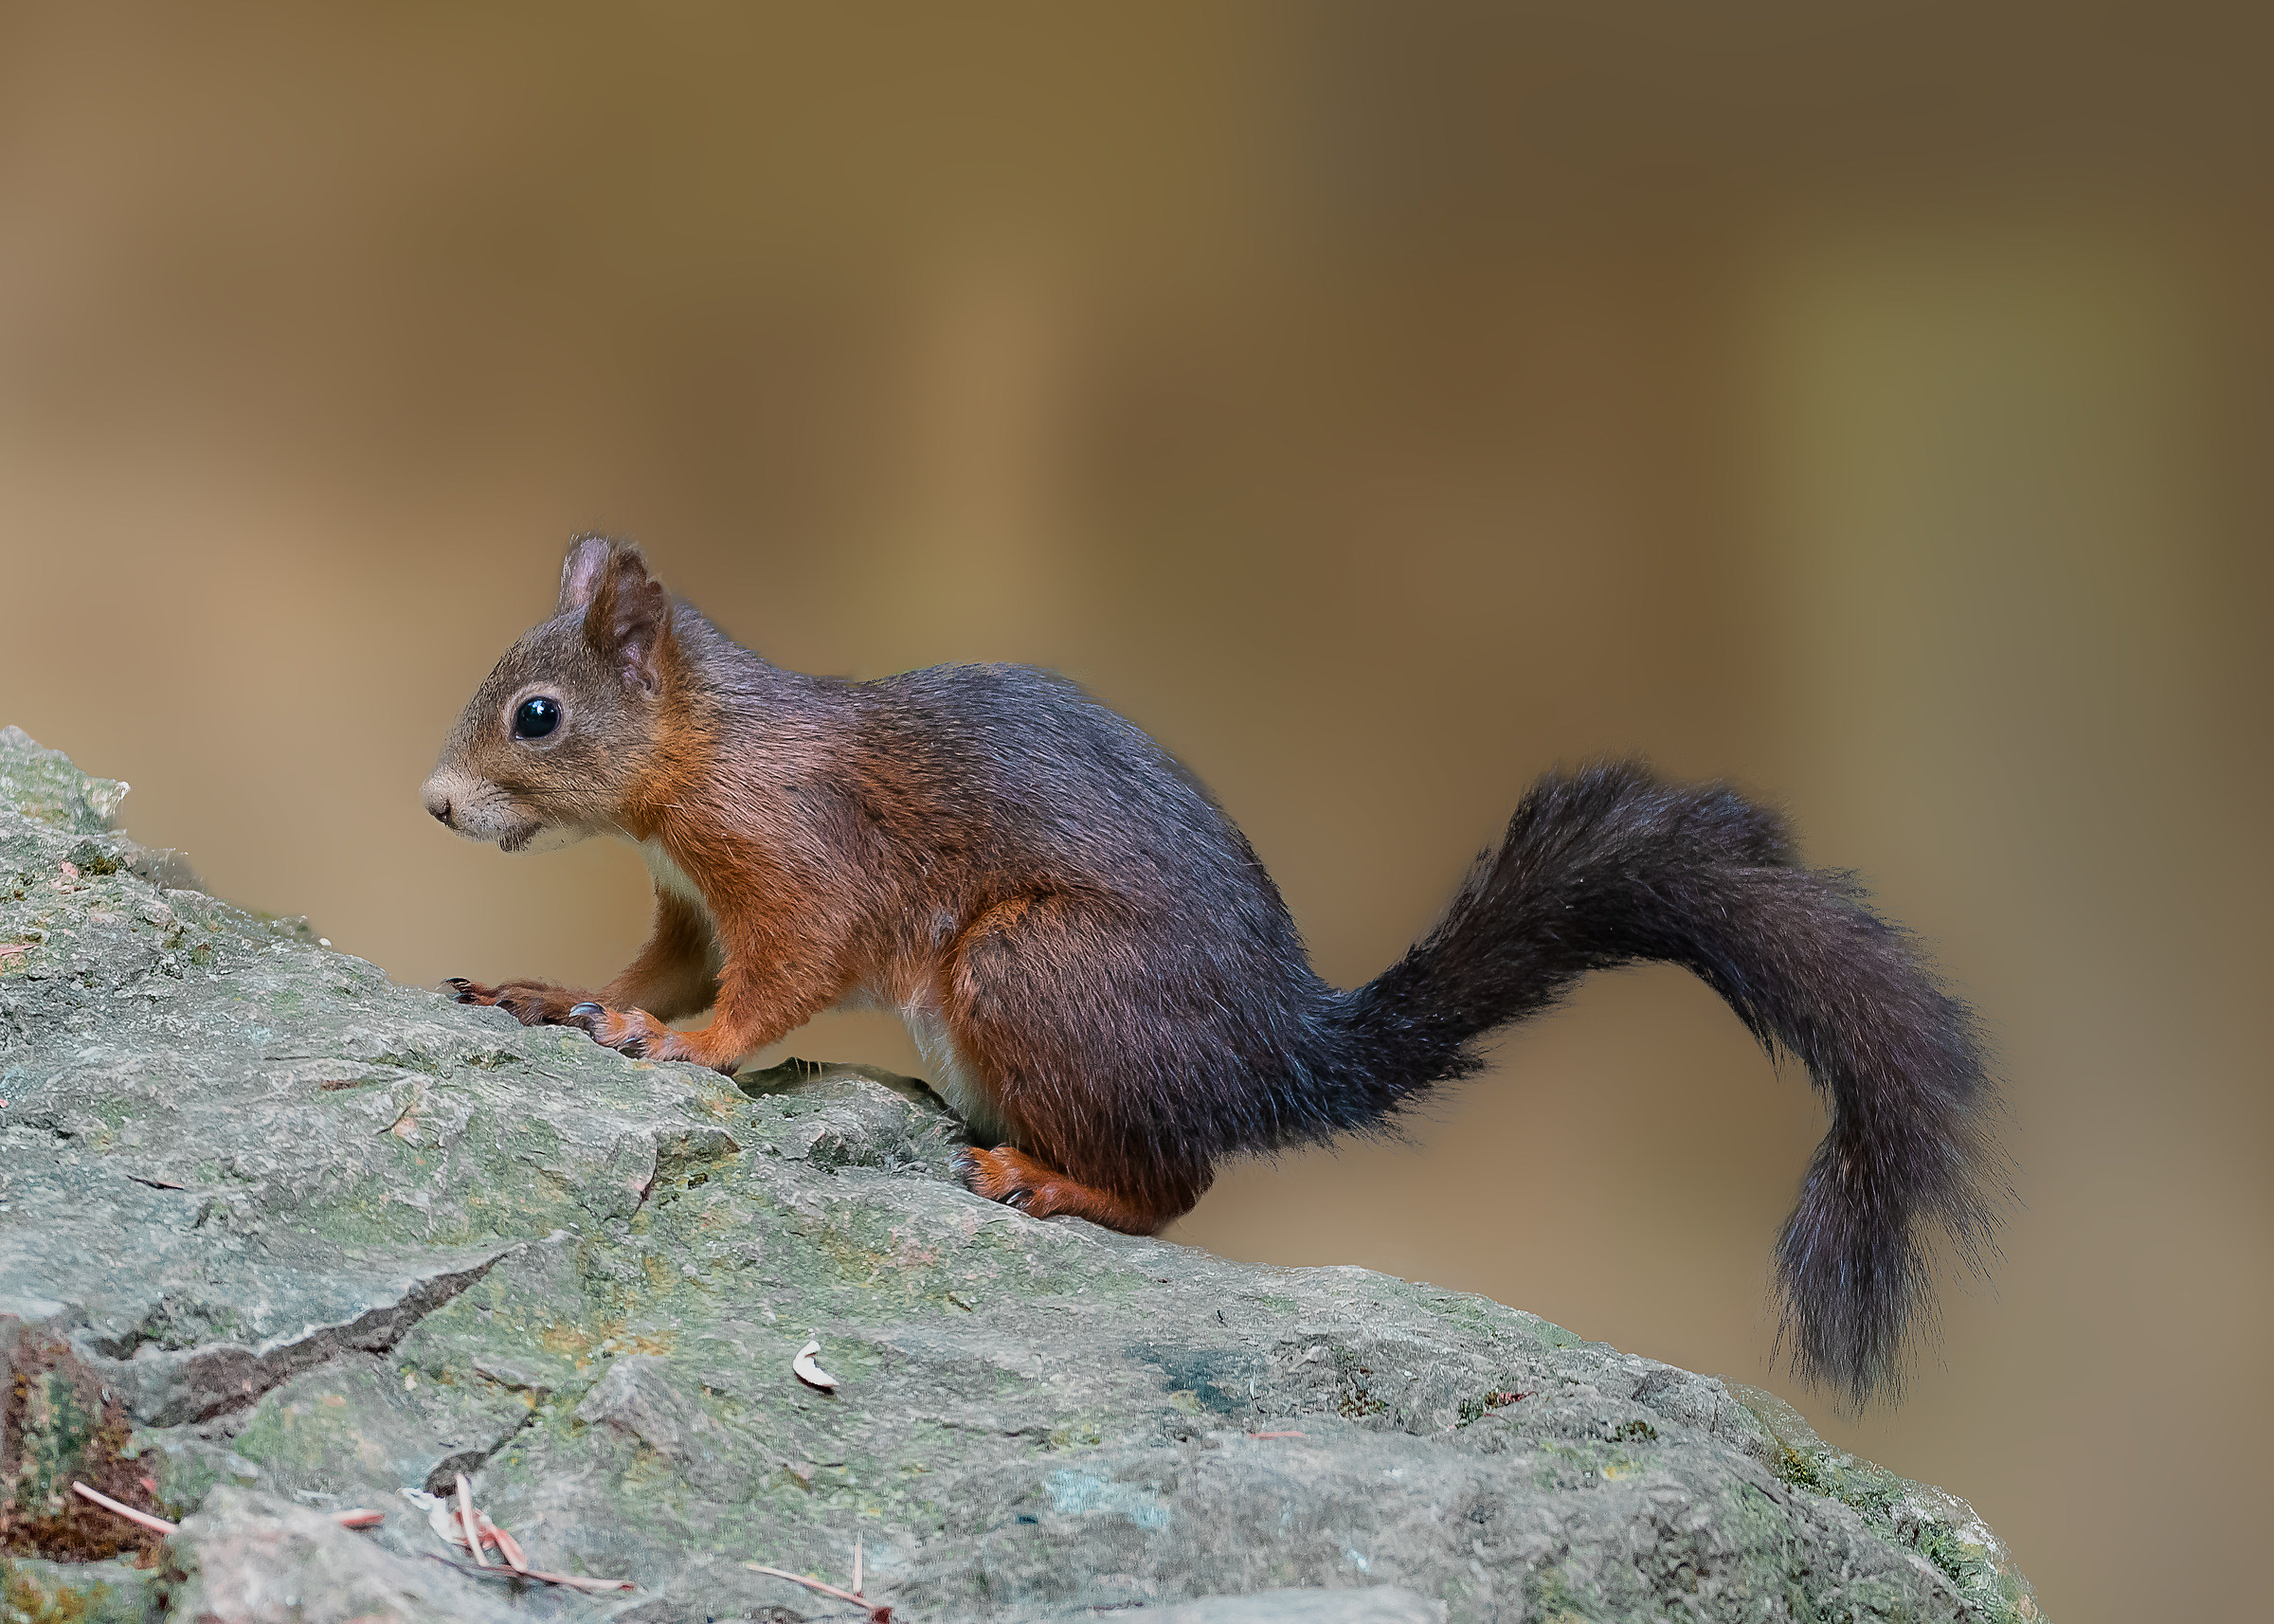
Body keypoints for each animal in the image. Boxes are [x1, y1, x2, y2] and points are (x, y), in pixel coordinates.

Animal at [423, 536, 2002, 1405]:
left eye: (538, 714)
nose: (435, 805)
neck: (710, 751)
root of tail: (1276, 1056)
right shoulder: (691, 906)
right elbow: (661, 965)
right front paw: (558, 996)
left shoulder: (798, 864)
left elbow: (772, 981)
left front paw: (682, 1051)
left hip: (1031, 972)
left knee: (1174, 1187)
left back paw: (1049, 1181)